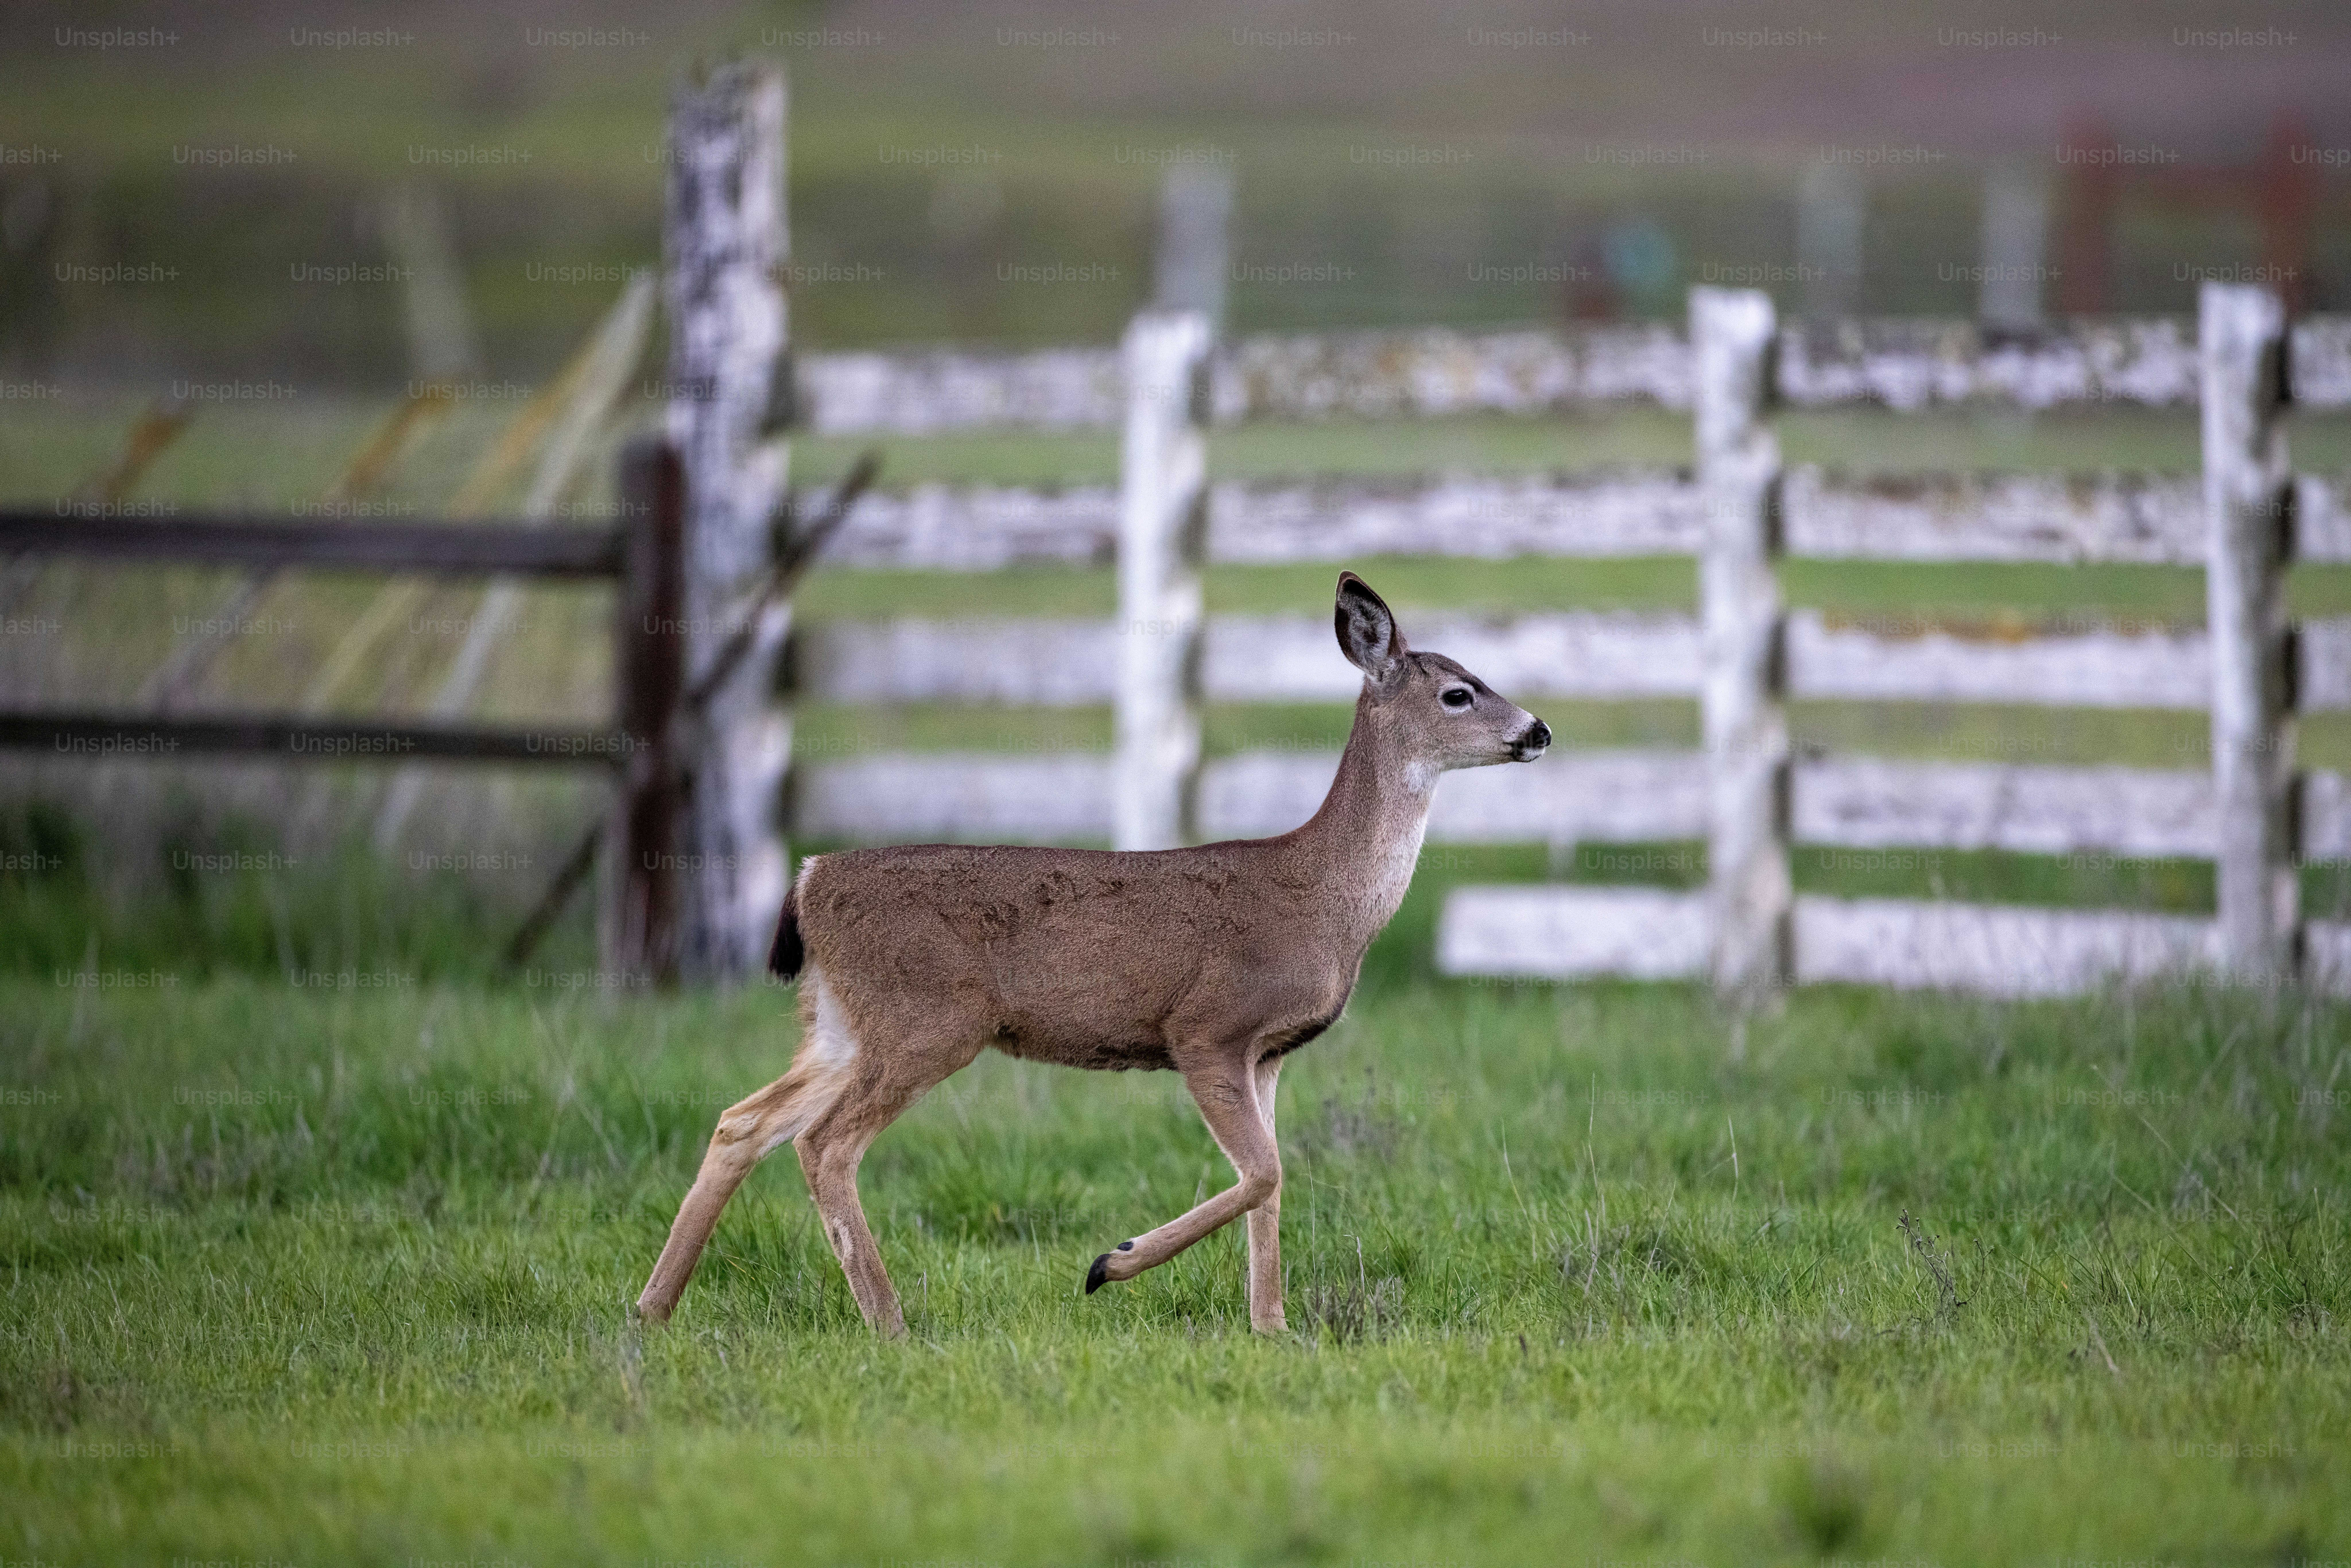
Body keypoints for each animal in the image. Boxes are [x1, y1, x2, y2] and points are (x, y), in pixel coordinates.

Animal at [635, 572, 1550, 1336]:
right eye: (1458, 692)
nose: (1538, 729)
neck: (1324, 897)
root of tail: (809, 877)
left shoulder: (1270, 1053)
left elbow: (1275, 1182)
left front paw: (1272, 1327)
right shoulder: (1207, 1027)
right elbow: (1262, 1174)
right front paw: (1112, 1264)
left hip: (841, 1022)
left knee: (743, 1120)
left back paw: (652, 1308)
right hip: (926, 1016)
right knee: (825, 1144)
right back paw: (889, 1323)